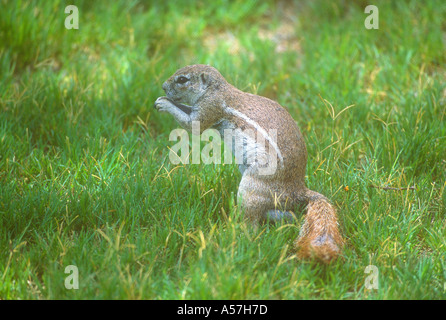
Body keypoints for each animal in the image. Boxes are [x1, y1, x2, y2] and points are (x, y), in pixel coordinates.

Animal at [155, 64, 344, 262]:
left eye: (182, 79)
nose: (163, 87)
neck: (215, 89)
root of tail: (297, 191)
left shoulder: (210, 107)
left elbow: (192, 124)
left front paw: (163, 103)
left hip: (250, 189)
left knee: (252, 223)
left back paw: (235, 233)